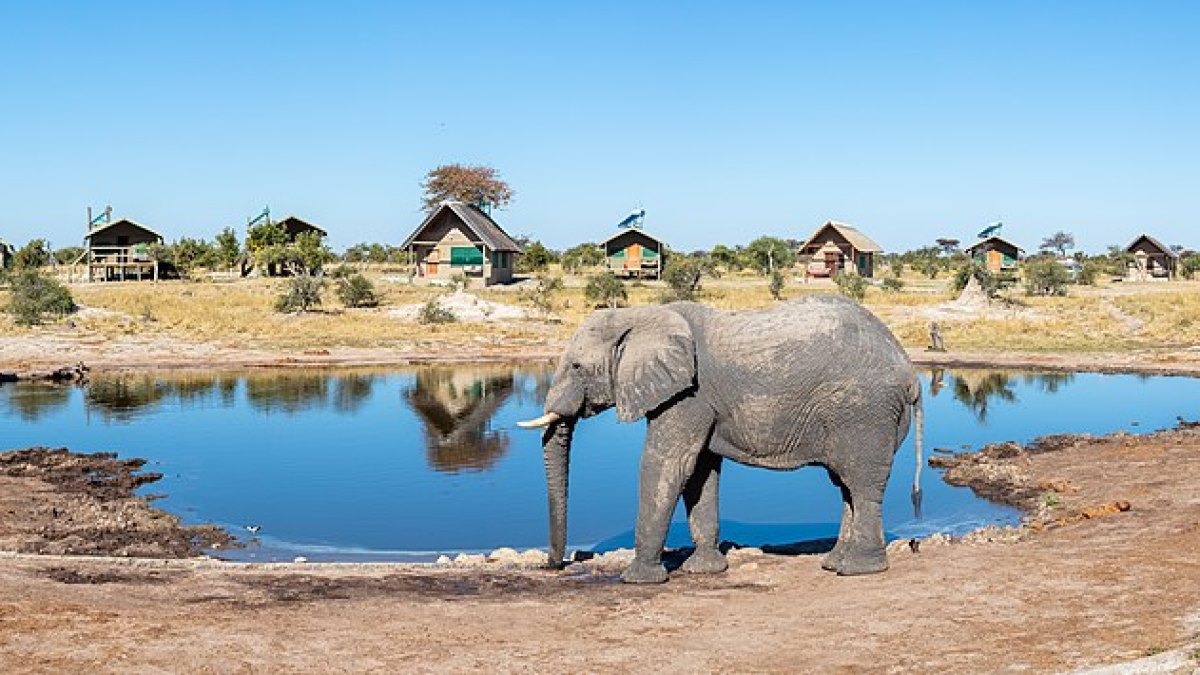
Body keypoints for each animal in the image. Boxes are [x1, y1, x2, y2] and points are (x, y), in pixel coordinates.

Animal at [518, 294, 923, 583]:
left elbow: (668, 465)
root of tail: (910, 372)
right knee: (845, 484)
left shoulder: (689, 394)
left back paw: (857, 570)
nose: (554, 565)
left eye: (576, 367)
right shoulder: (697, 401)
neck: (641, 316)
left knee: (861, 482)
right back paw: (833, 563)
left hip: (865, 411)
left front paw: (637, 579)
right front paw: (704, 571)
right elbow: (700, 472)